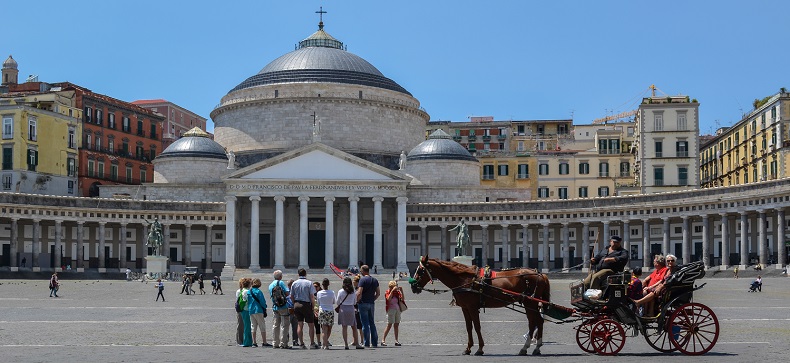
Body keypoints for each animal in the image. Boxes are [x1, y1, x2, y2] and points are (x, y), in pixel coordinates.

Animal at [412, 256, 552, 356]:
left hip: (530, 303)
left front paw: (479, 349)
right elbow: (469, 327)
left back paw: (527, 347)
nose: (413, 286)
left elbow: (477, 327)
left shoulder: (472, 307)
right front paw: (468, 348)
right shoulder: (465, 308)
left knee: (535, 322)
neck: (464, 279)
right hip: (529, 303)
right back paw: (534, 348)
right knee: (537, 322)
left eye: (420, 270)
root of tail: (540, 274)